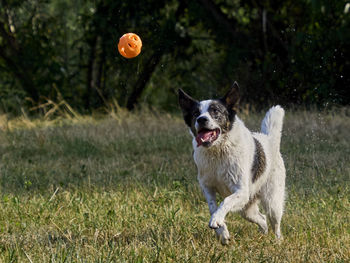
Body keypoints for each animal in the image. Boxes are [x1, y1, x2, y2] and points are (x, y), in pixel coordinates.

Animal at [179, 83, 286, 245]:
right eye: (195, 113)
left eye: (215, 111)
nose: (201, 119)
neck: (217, 151)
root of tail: (268, 139)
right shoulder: (208, 187)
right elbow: (213, 207)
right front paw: (222, 232)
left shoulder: (241, 191)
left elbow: (226, 201)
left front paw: (217, 220)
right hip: (246, 208)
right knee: (262, 218)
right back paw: (263, 234)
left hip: (271, 201)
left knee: (275, 223)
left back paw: (278, 241)